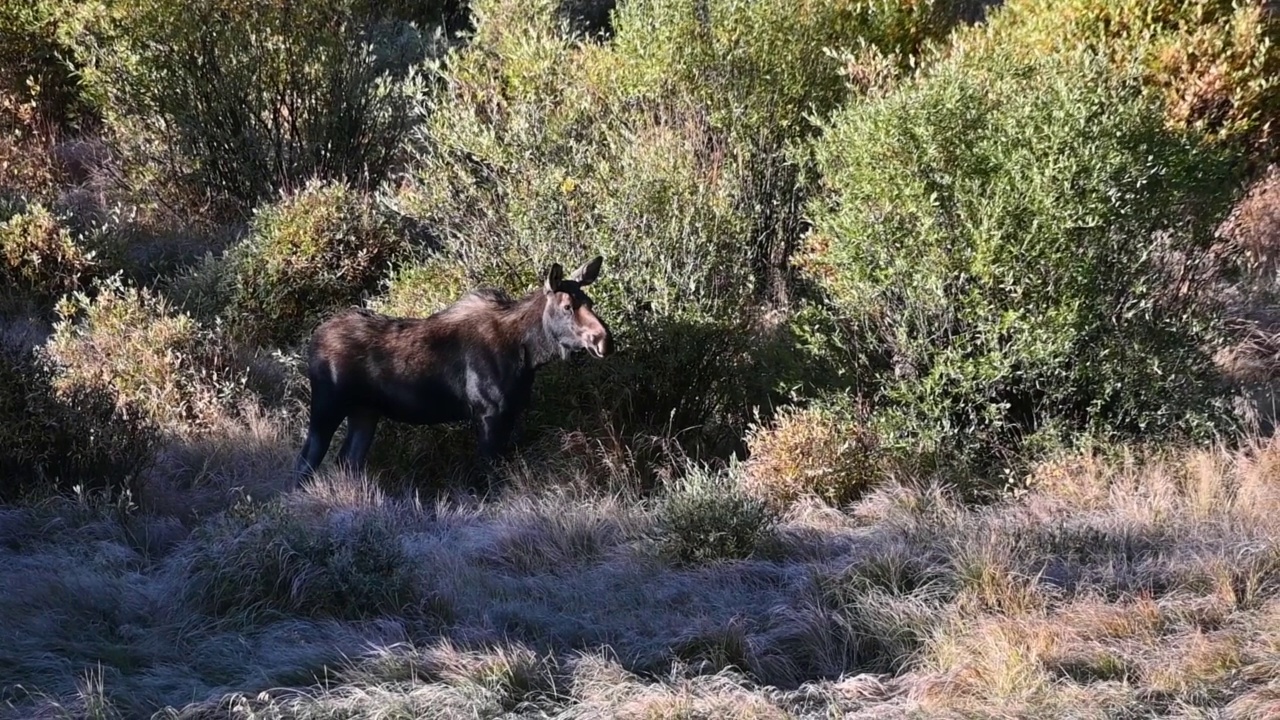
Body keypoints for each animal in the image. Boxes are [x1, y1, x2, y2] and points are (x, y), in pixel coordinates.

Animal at [293, 253, 611, 481]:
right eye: (568, 306)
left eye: (590, 301)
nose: (602, 339)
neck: (529, 353)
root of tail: (311, 342)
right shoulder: (488, 413)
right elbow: (492, 473)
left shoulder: (509, 413)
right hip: (327, 405)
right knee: (305, 462)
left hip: (365, 412)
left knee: (347, 461)